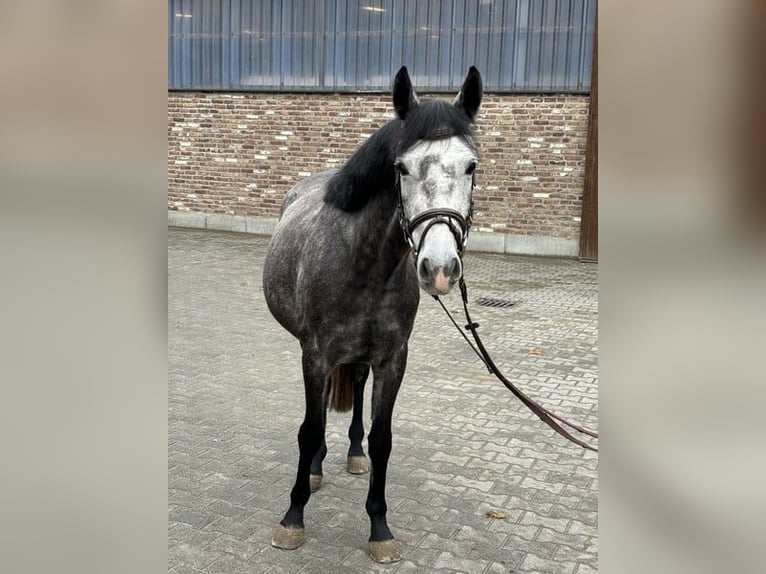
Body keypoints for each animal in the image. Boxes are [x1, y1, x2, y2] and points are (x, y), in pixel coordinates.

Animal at [260, 65, 484, 564]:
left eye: (471, 167)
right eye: (401, 168)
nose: (440, 269)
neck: (363, 262)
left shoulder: (392, 360)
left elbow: (383, 439)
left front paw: (380, 527)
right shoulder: (315, 355)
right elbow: (309, 429)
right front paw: (292, 518)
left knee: (356, 387)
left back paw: (352, 454)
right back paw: (316, 469)